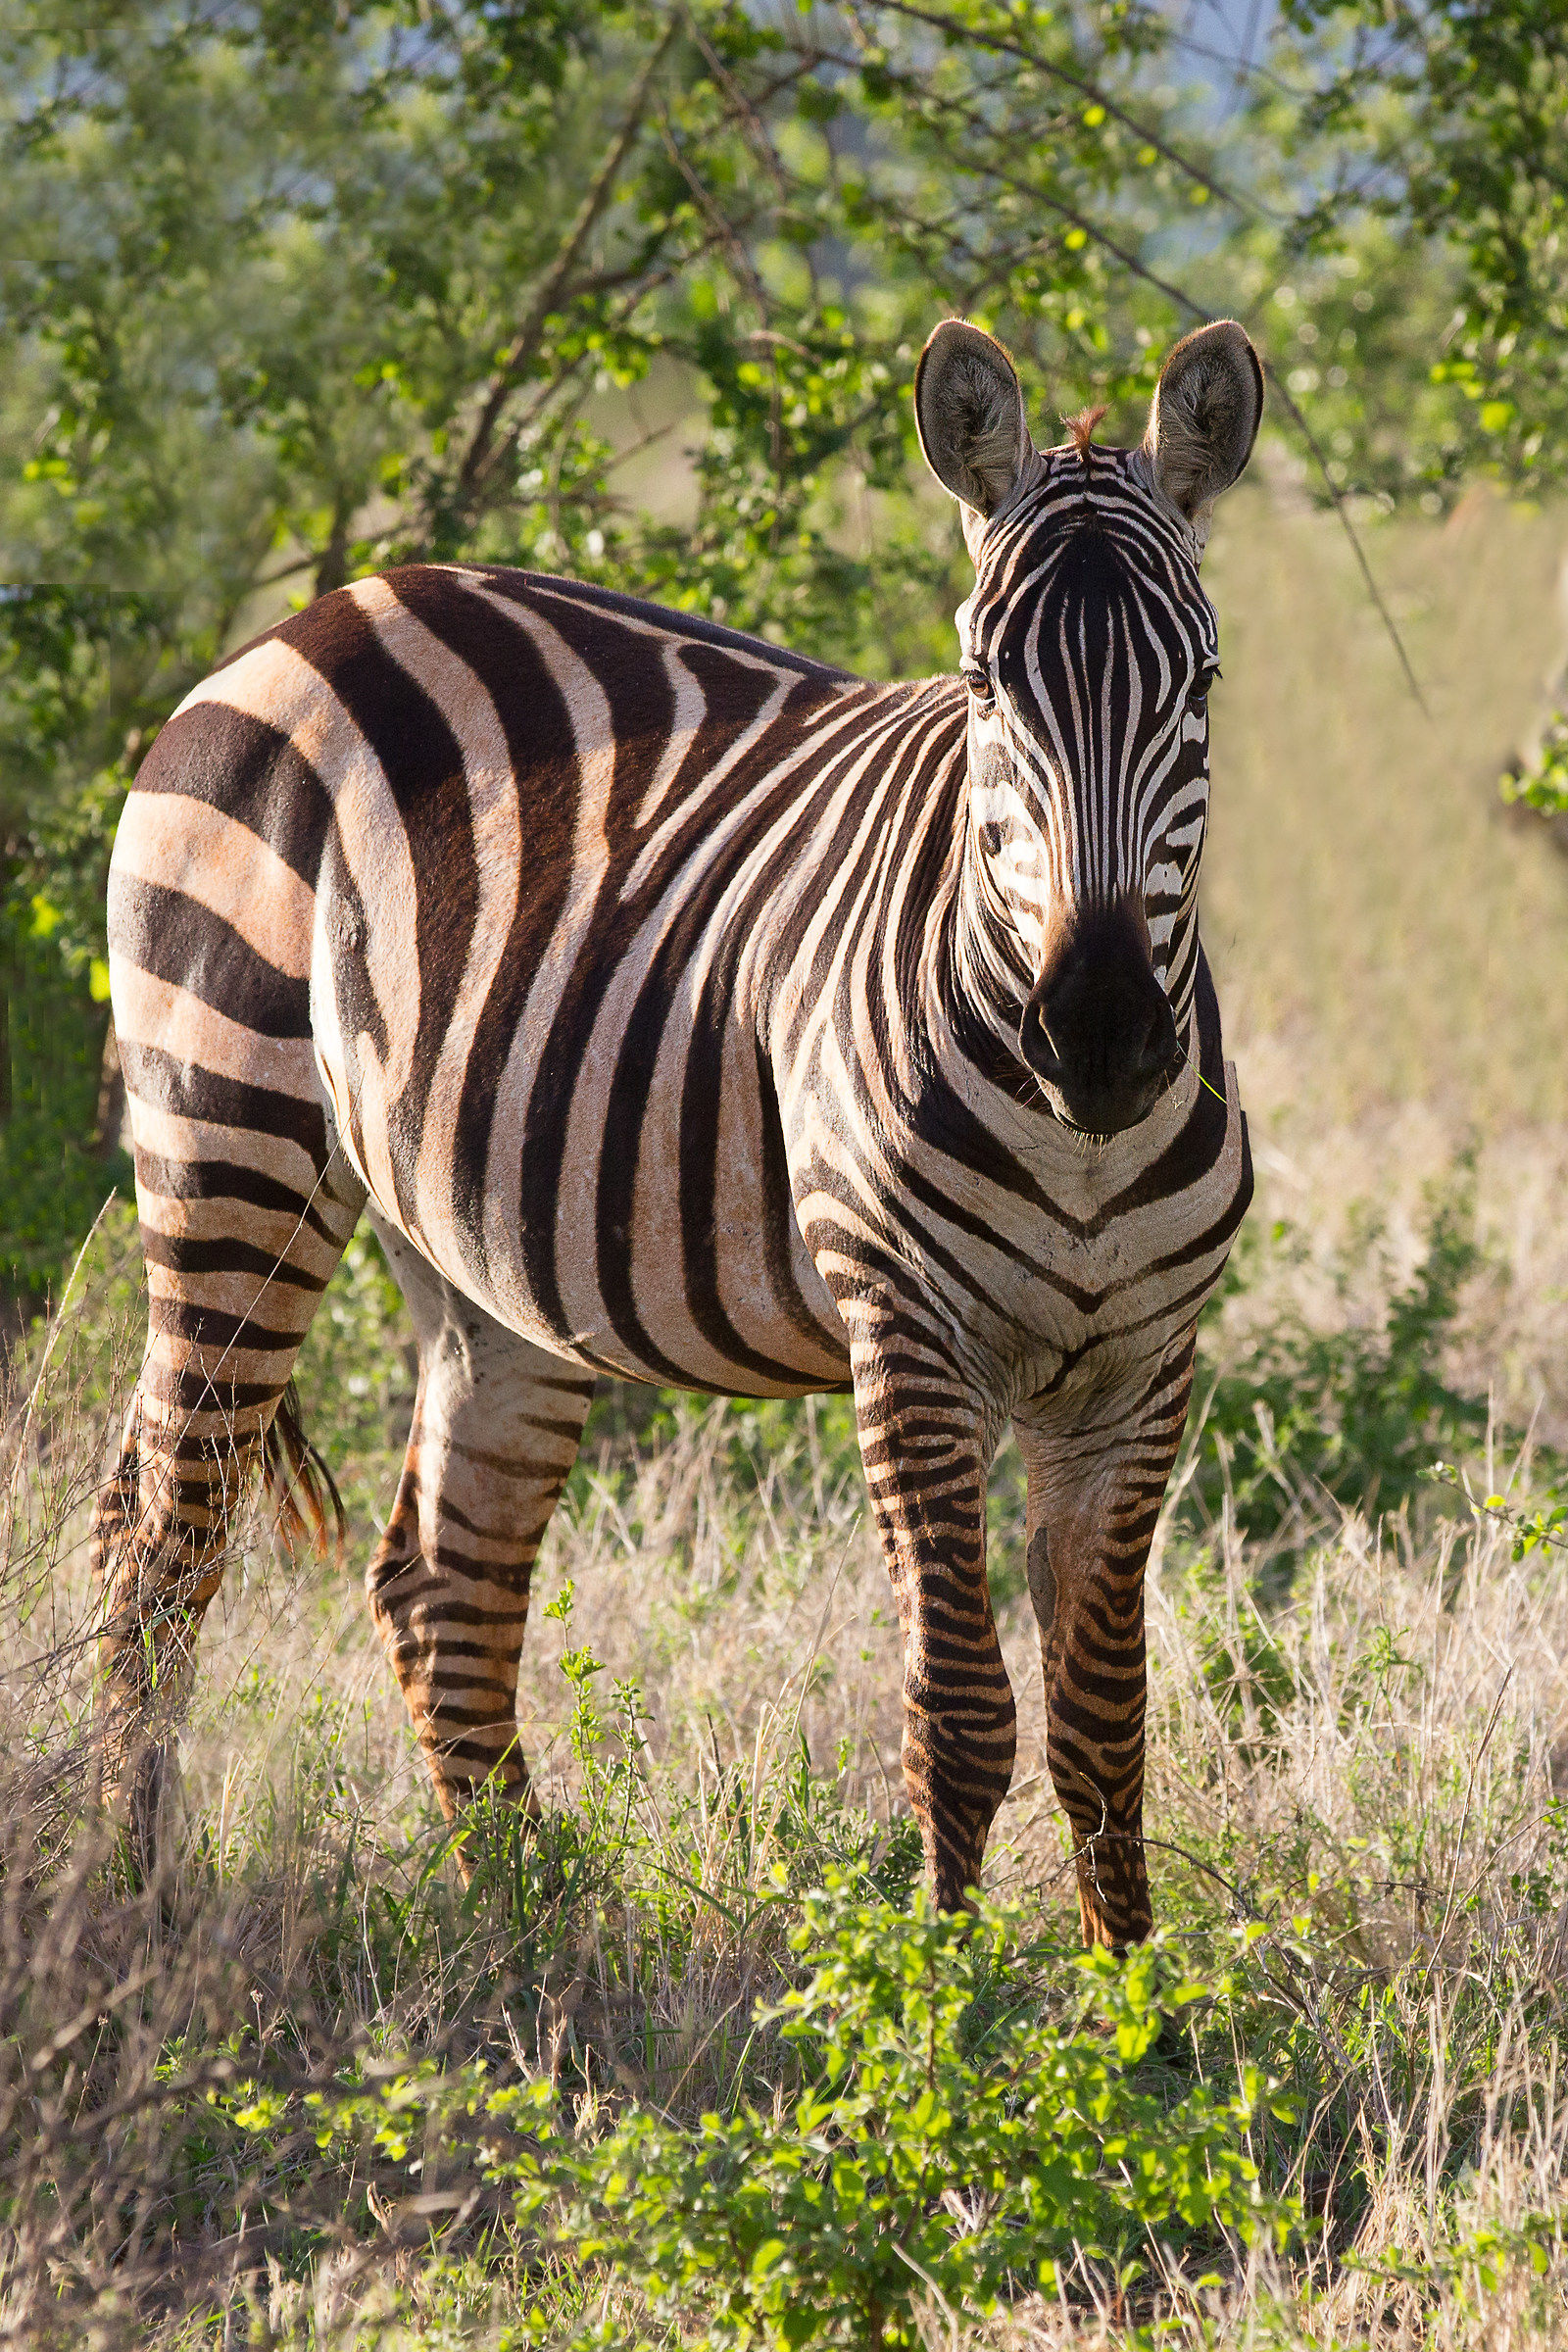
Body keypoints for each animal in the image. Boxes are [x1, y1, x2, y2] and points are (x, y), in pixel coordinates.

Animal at [93, 316, 1261, 1948]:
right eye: (982, 685)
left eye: (1200, 681)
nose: (1096, 1036)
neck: (1079, 1139)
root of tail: (327, 611)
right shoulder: (906, 1331)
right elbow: (966, 1711)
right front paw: (948, 1999)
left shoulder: (1141, 1367)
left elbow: (1105, 1729)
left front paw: (1132, 2004)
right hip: (228, 1126)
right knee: (162, 1540)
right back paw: (134, 1908)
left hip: (485, 1255)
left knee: (439, 1579)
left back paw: (522, 1923)